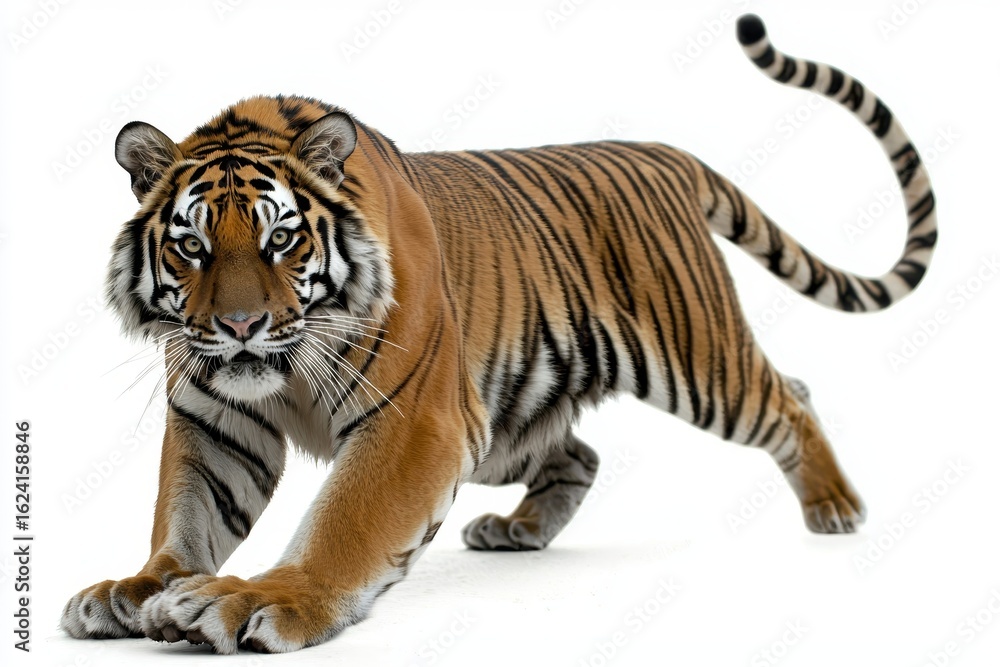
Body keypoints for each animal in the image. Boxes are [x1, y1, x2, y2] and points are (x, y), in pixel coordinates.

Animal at [61, 14, 936, 654]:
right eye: (192, 245)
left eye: (281, 239)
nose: (240, 325)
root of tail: (661, 152)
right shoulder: (215, 418)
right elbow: (186, 514)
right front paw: (139, 587)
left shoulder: (414, 420)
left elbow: (345, 524)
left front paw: (256, 599)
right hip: (501, 415)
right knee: (581, 451)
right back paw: (519, 530)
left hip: (696, 360)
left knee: (790, 394)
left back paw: (834, 505)